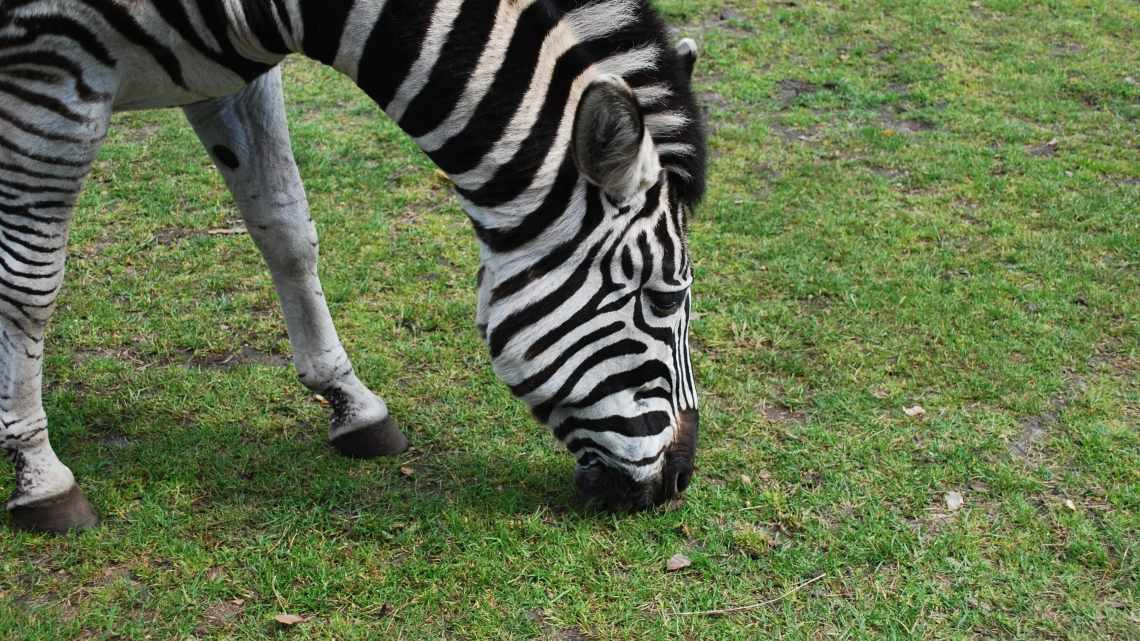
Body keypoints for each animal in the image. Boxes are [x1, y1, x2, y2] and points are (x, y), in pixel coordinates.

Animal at [0, 0, 706, 529]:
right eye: (664, 299)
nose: (680, 480)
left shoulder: (233, 77)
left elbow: (286, 229)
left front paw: (352, 404)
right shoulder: (48, 77)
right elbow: (30, 287)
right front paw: (39, 476)